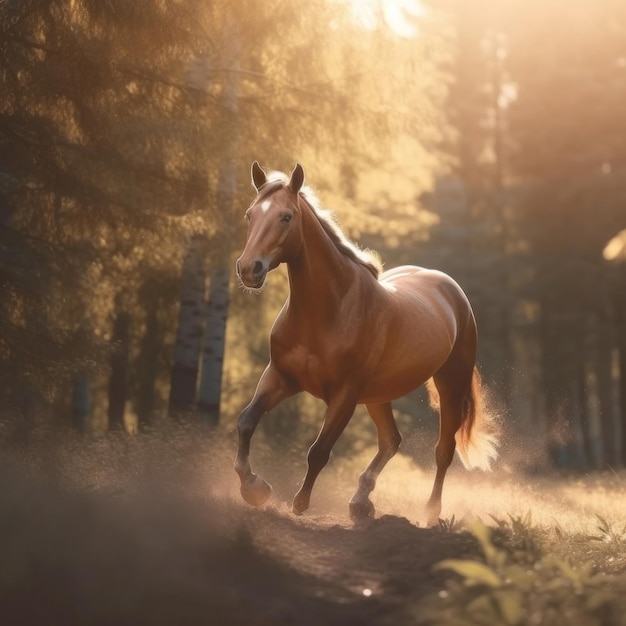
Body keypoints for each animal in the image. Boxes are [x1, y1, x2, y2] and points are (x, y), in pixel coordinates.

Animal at [234, 161, 498, 520]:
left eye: (286, 216)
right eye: (250, 215)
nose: (250, 269)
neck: (329, 310)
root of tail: (449, 288)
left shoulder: (345, 395)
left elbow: (319, 450)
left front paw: (299, 504)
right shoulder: (279, 377)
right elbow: (246, 421)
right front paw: (254, 488)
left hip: (450, 384)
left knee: (443, 449)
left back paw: (430, 512)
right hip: (378, 395)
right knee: (391, 440)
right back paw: (361, 501)